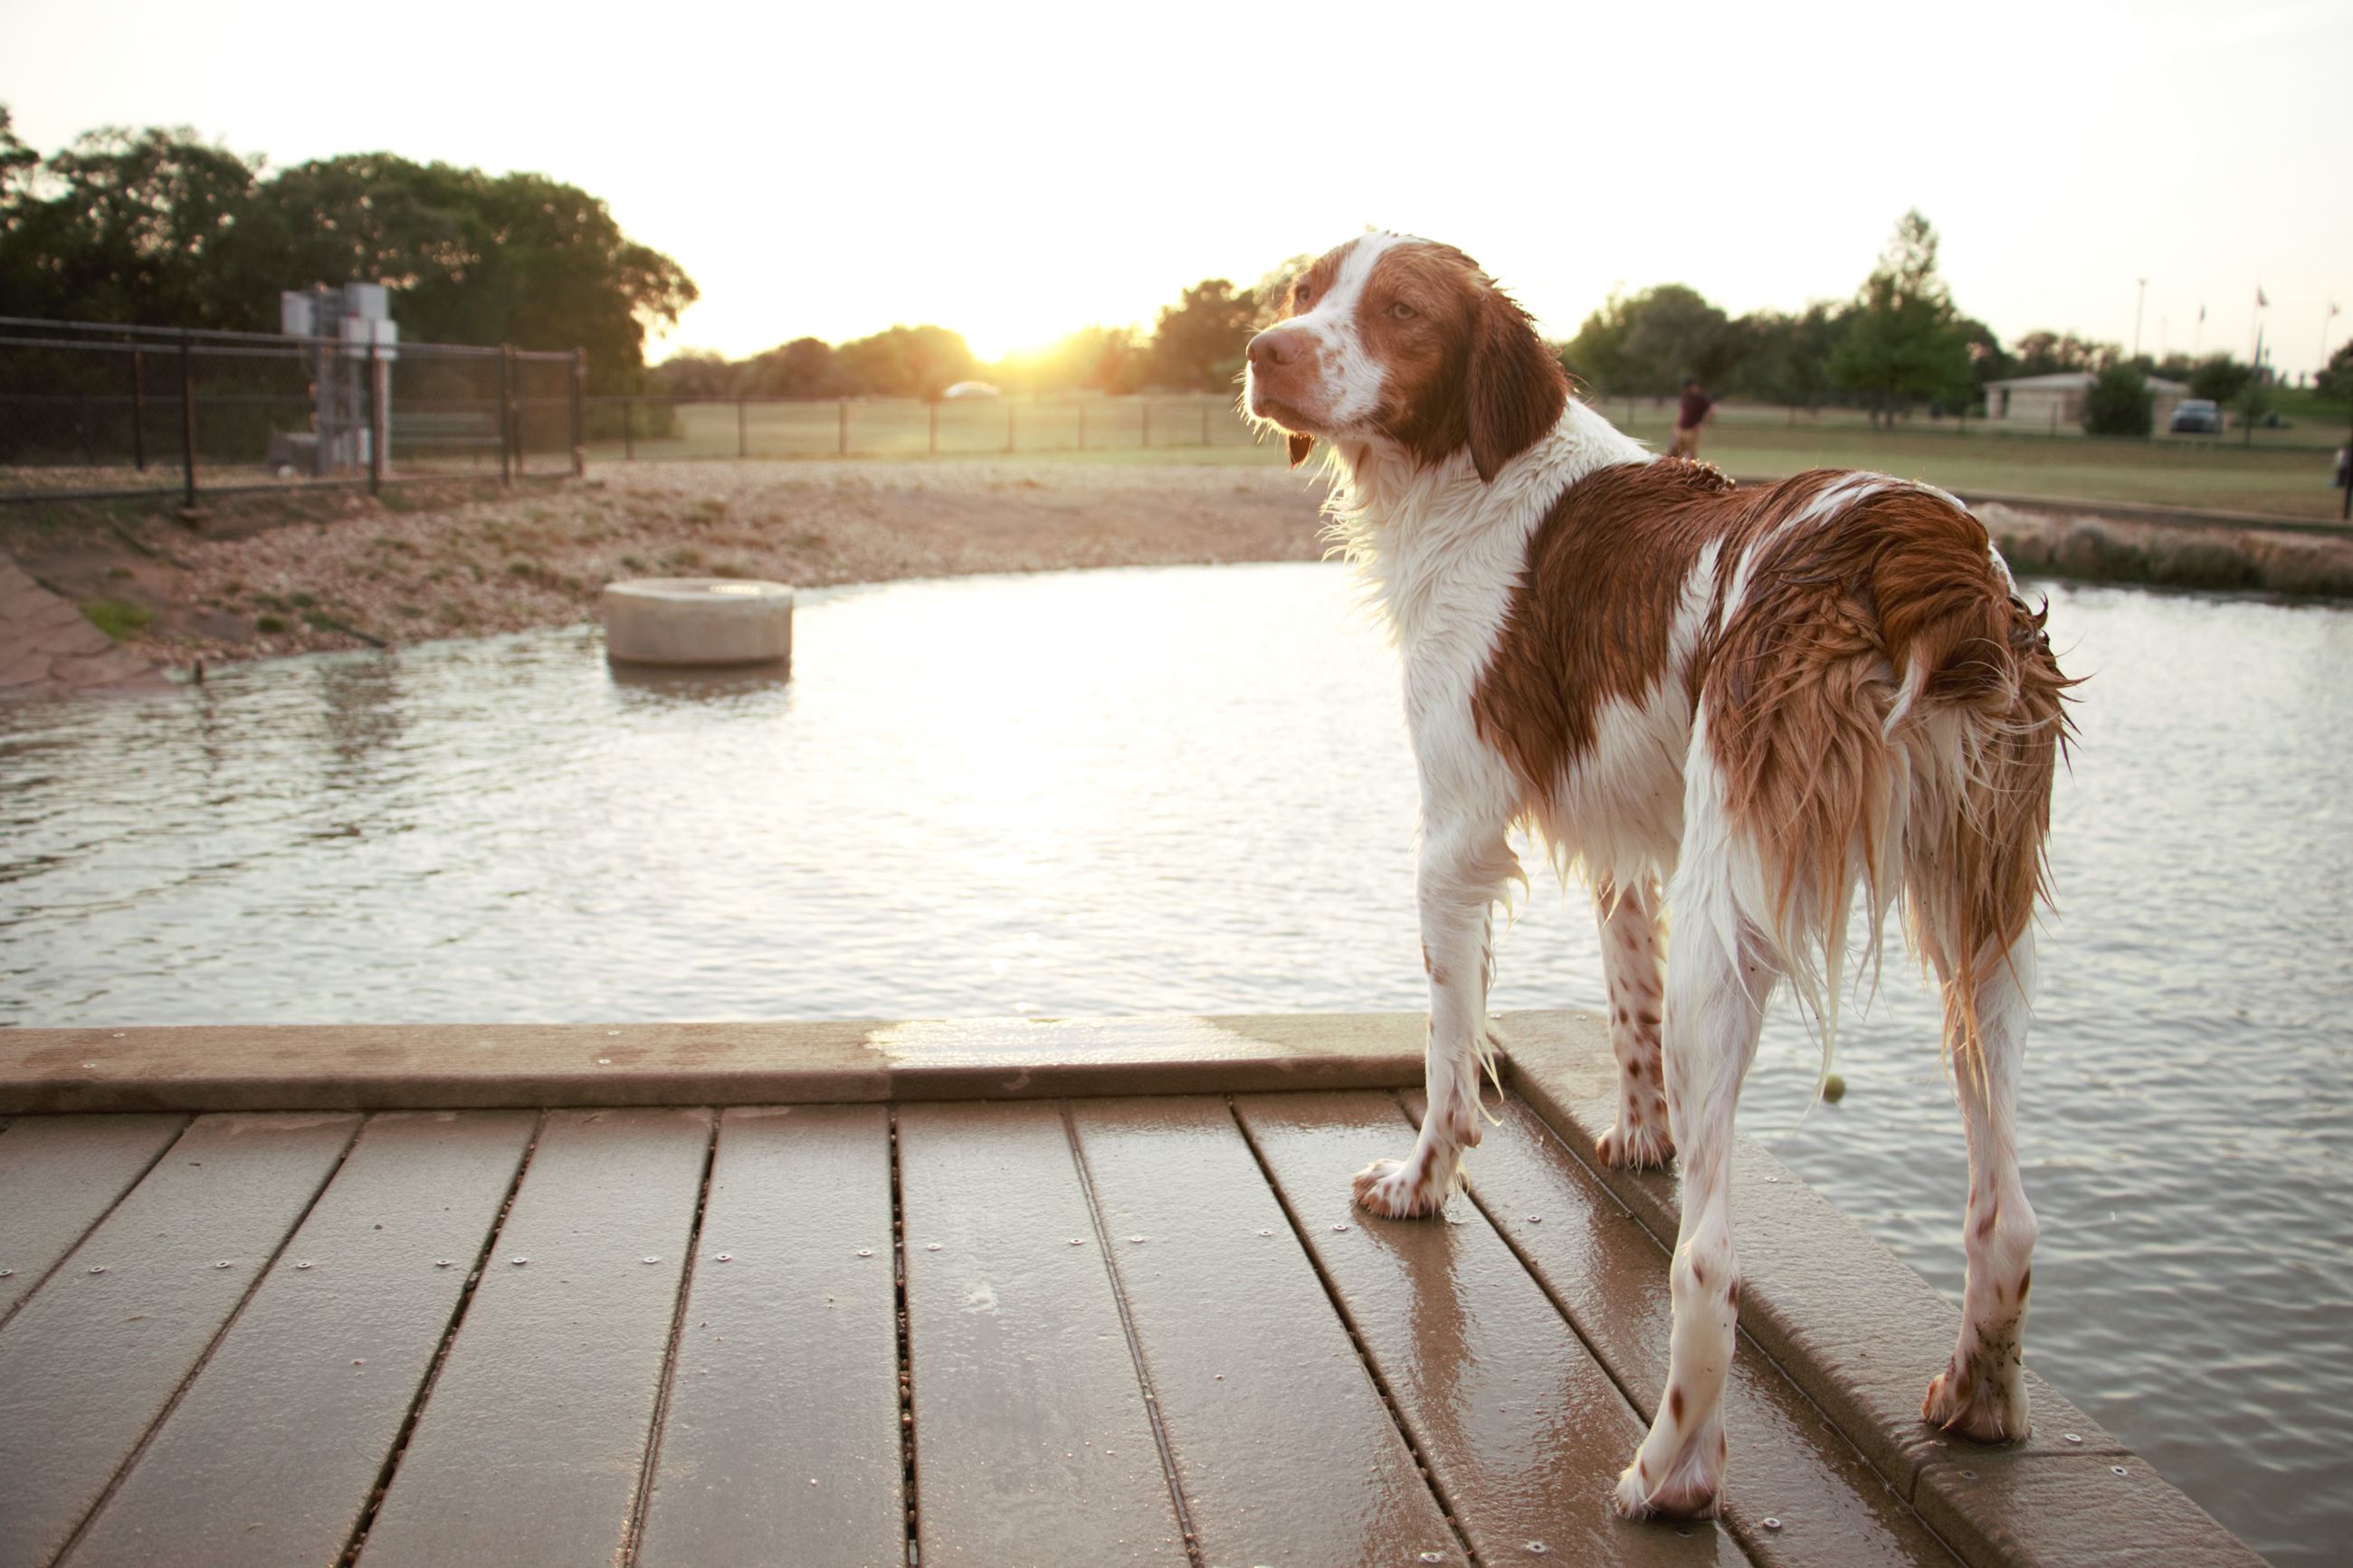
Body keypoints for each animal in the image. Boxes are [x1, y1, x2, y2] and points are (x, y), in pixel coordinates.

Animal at [1242, 233, 2071, 1523]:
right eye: (1304, 291)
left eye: (1401, 309)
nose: (1259, 350)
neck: (1475, 478)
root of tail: (1913, 540)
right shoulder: (1630, 841)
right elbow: (1622, 994)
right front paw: (1637, 1133)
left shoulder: (1453, 835)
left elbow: (1446, 1055)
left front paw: (1421, 1182)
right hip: (1981, 927)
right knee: (2009, 1215)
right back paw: (1978, 1398)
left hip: (1734, 935)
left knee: (1712, 1256)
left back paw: (1668, 1472)